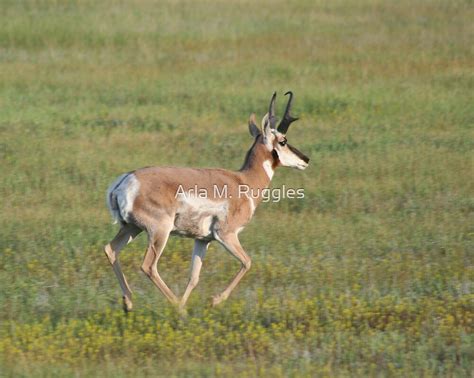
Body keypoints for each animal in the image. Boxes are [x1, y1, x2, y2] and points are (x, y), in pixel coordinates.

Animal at [104, 90, 310, 312]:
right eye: (283, 140)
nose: (306, 159)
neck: (243, 181)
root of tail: (126, 180)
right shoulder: (226, 235)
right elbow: (247, 262)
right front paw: (215, 300)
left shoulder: (202, 240)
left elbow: (194, 277)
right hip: (159, 231)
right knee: (148, 266)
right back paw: (177, 308)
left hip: (132, 228)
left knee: (111, 250)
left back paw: (129, 303)